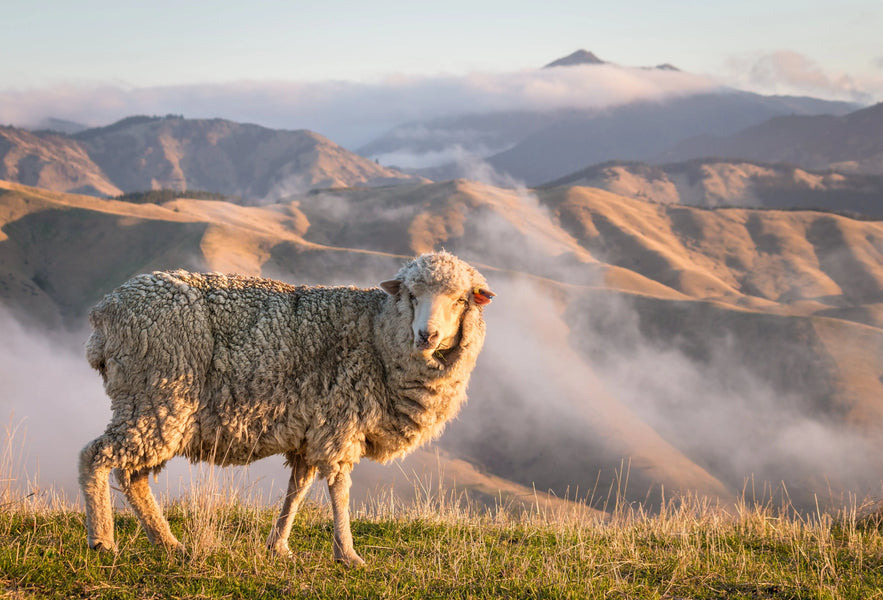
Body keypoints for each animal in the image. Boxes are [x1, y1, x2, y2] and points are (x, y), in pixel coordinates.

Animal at [77, 251, 494, 564]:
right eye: (411, 296)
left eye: (460, 300)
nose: (427, 336)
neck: (378, 334)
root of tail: (104, 314)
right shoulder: (340, 421)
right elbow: (339, 488)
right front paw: (347, 554)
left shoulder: (311, 429)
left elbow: (298, 489)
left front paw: (278, 545)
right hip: (158, 397)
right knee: (95, 456)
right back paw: (103, 540)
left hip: (151, 406)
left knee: (132, 476)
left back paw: (168, 543)